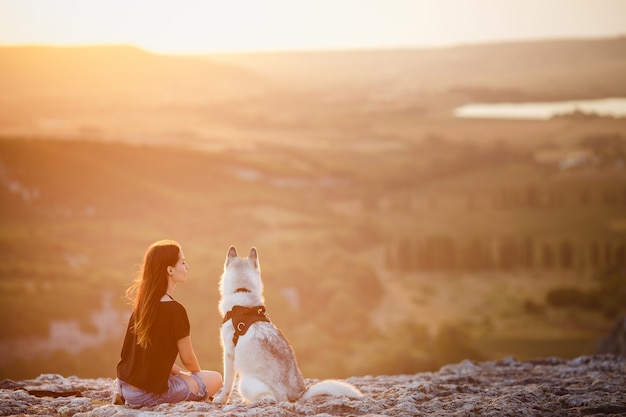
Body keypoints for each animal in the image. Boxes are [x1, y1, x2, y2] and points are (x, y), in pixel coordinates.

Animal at [213, 245, 364, 404]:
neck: (242, 291)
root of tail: (298, 395)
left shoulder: (229, 354)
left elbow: (227, 384)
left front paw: (221, 400)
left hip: (245, 383)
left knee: (269, 397)